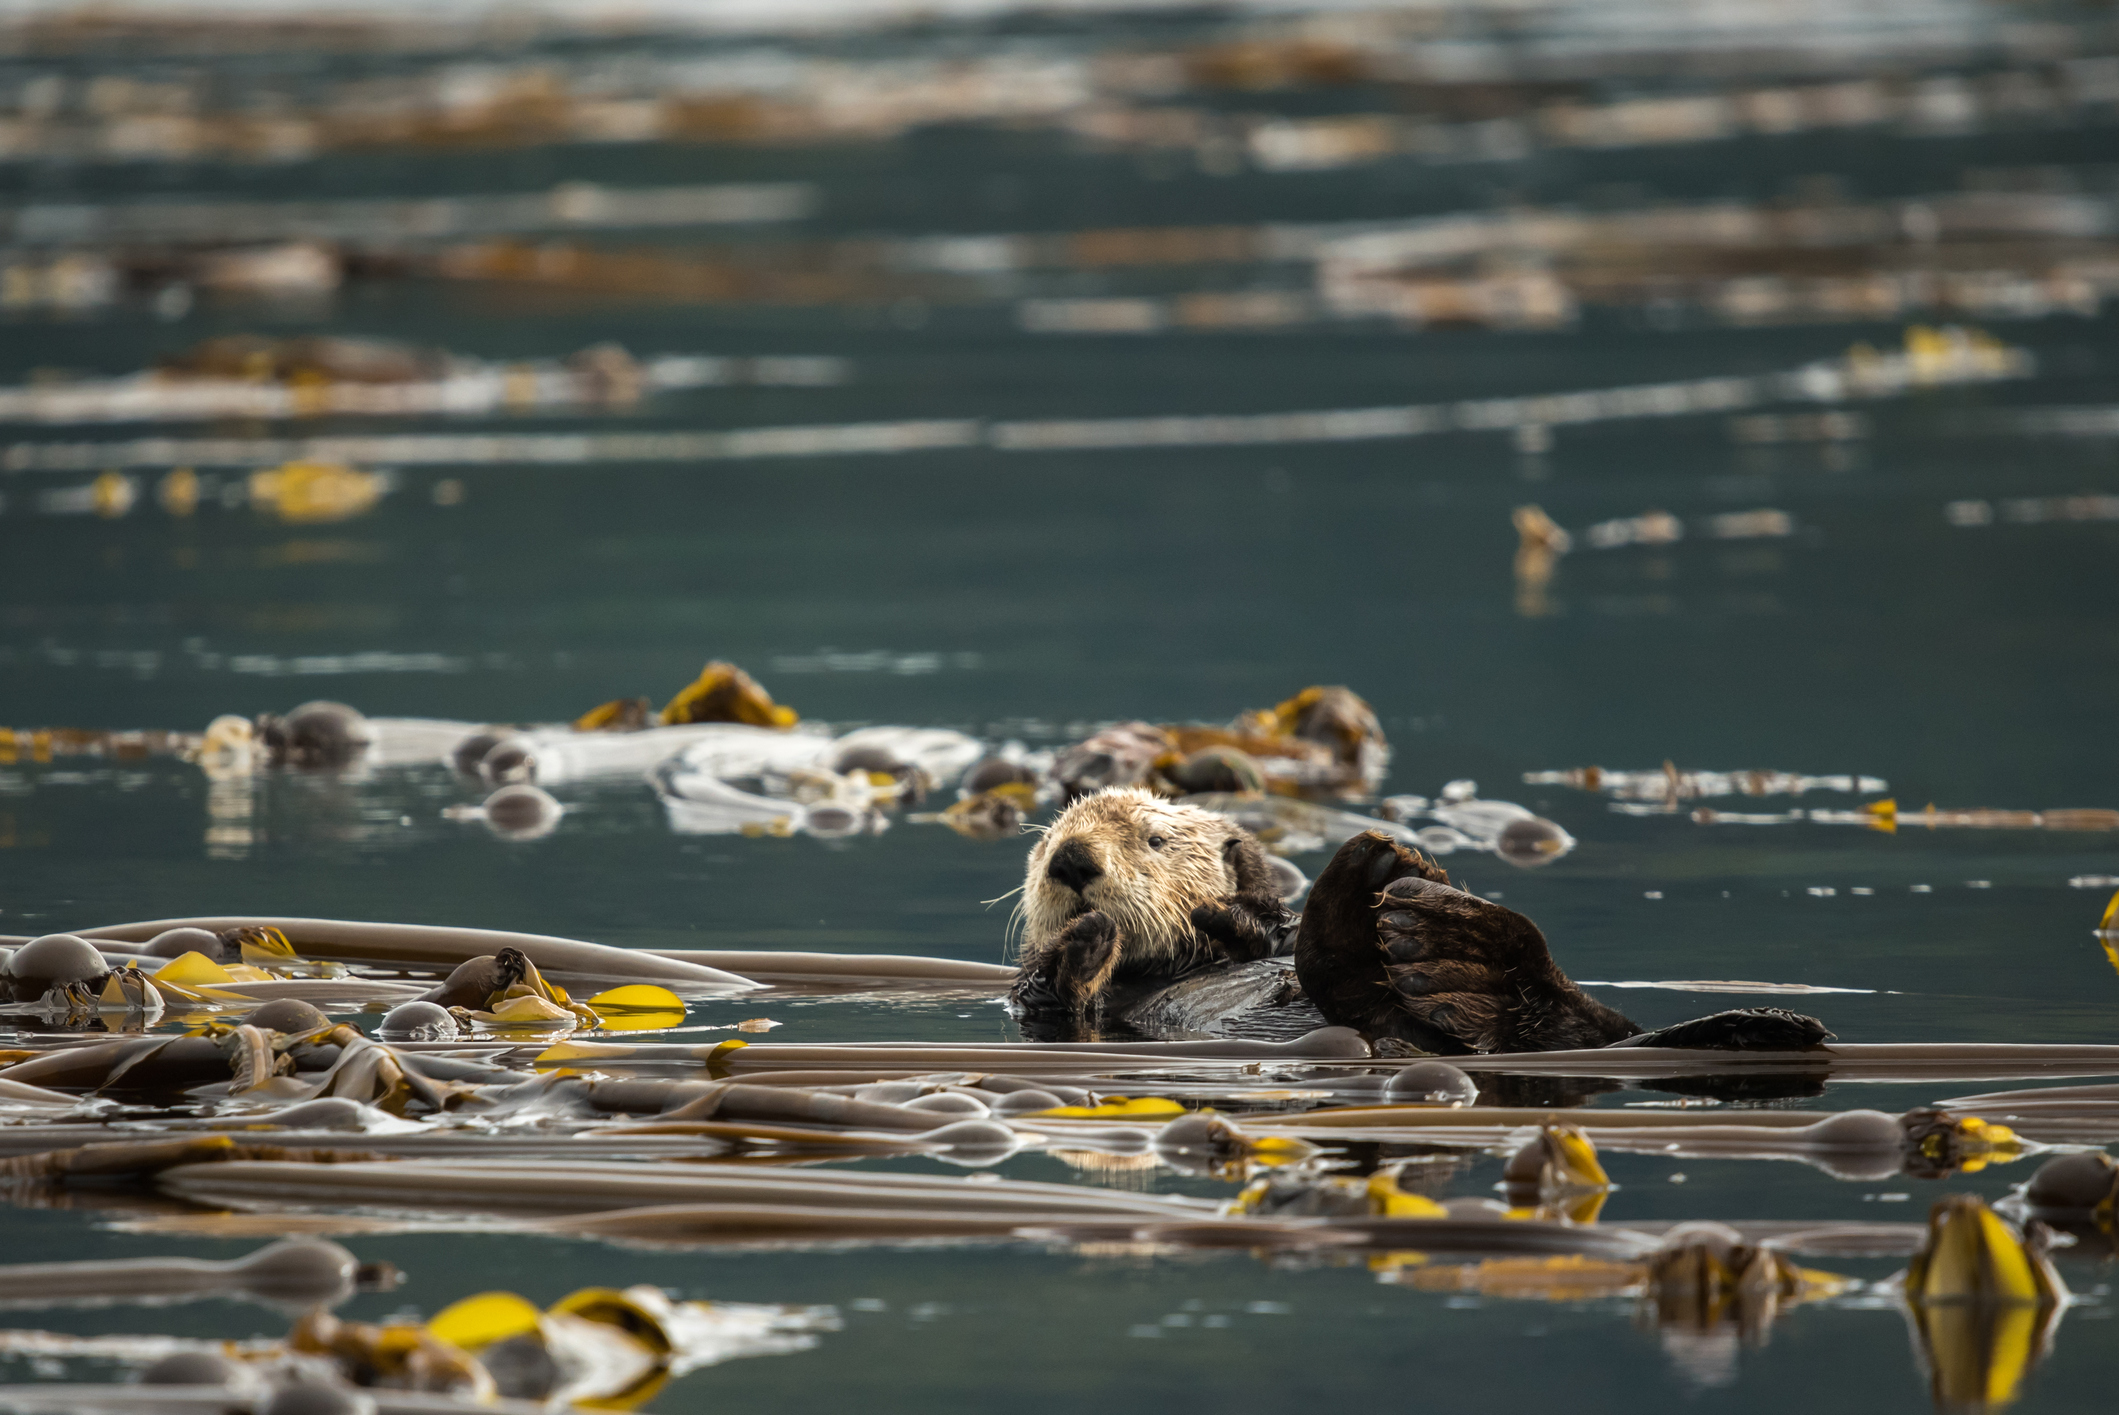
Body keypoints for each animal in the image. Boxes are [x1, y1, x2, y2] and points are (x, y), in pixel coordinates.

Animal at [1008, 792, 1829, 1054]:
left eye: (1152, 839)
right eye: (1044, 846)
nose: (1071, 859)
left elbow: (1266, 926)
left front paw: (1228, 915)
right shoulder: (1042, 1007)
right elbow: (1053, 995)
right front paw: (1086, 942)